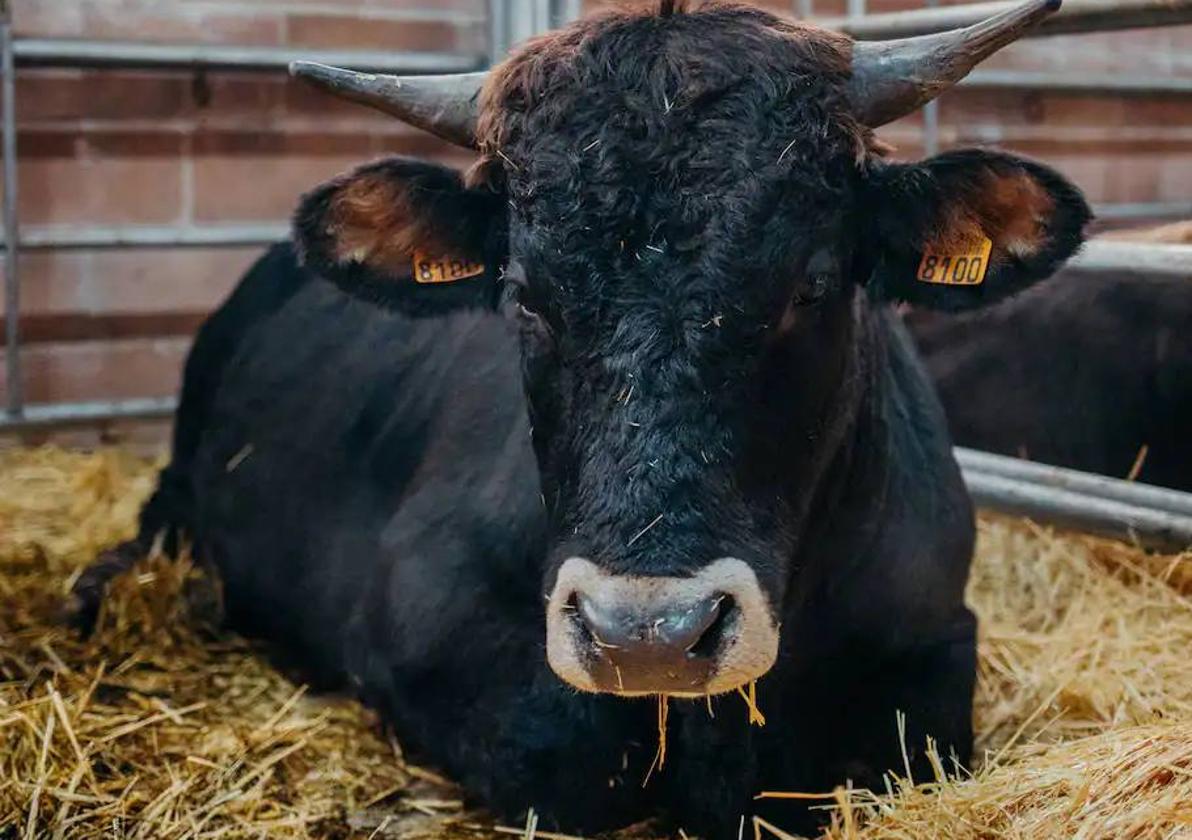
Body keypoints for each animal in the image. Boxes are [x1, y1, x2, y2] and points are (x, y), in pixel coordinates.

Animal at [74, 3, 1091, 834]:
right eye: (525, 294)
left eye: (809, 285)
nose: (651, 635)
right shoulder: (421, 622)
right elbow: (569, 759)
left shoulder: (938, 640)